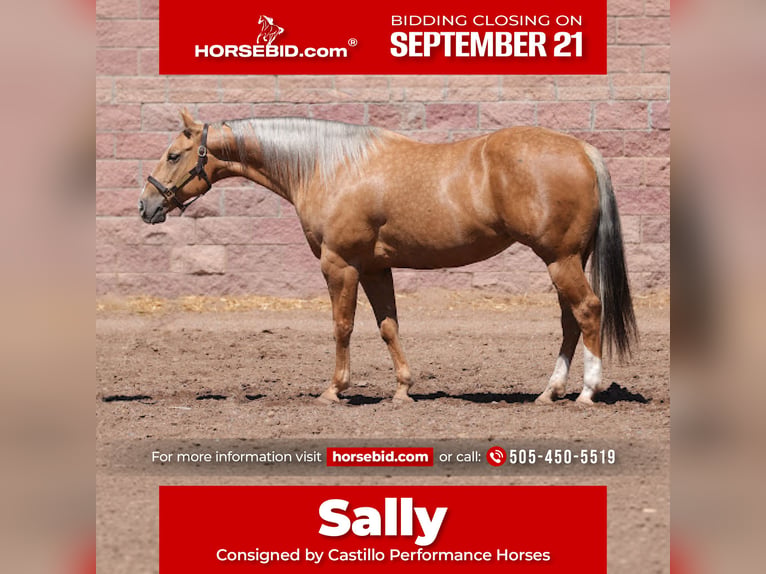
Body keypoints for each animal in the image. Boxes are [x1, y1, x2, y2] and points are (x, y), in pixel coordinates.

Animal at [138, 109, 637, 406]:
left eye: (173, 154)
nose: (146, 205)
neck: (330, 166)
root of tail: (582, 150)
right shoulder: (376, 267)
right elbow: (388, 326)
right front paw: (402, 390)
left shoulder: (339, 264)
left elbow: (342, 326)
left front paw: (334, 390)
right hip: (568, 259)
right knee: (570, 319)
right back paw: (549, 391)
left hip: (560, 258)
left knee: (588, 311)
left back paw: (586, 393)